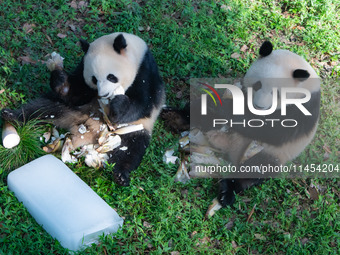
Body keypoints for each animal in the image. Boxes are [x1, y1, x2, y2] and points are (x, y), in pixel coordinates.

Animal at [0, 32, 166, 186]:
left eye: (111, 77)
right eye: (94, 79)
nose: (103, 94)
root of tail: (85, 133)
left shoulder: (145, 73)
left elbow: (142, 104)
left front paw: (118, 107)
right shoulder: (82, 68)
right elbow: (77, 92)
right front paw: (60, 78)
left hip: (132, 129)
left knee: (132, 148)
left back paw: (121, 175)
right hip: (72, 109)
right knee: (42, 108)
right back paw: (11, 115)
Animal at [161, 40, 320, 207]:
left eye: (277, 93)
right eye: (257, 85)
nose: (259, 106)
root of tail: (228, 149)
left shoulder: (305, 107)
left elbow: (274, 130)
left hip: (272, 153)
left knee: (255, 169)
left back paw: (227, 191)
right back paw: (176, 117)